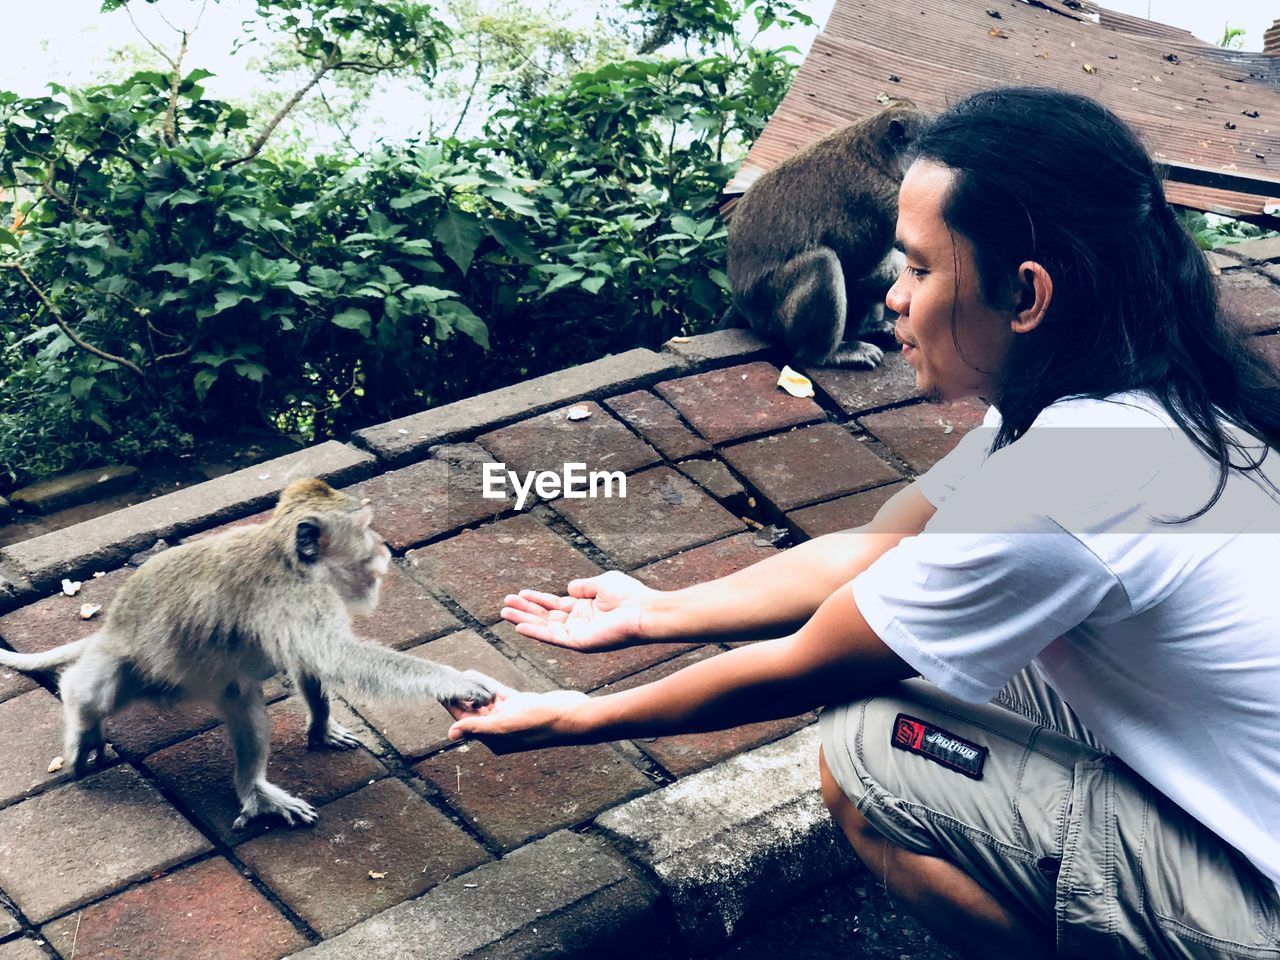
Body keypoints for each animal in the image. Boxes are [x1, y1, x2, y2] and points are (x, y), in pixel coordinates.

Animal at [0, 481, 496, 834]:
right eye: (363, 528)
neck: (290, 560)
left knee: (241, 696)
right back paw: (85, 726)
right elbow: (339, 658)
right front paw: (455, 680)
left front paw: (321, 726)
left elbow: (309, 661)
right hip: (127, 666)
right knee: (89, 691)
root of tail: (110, 631)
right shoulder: (297, 598)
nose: (382, 548)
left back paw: (254, 792)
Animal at [727, 98, 926, 368]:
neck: (877, 154)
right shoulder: (890, 199)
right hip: (772, 317)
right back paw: (827, 354)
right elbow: (863, 273)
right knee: (823, 262)